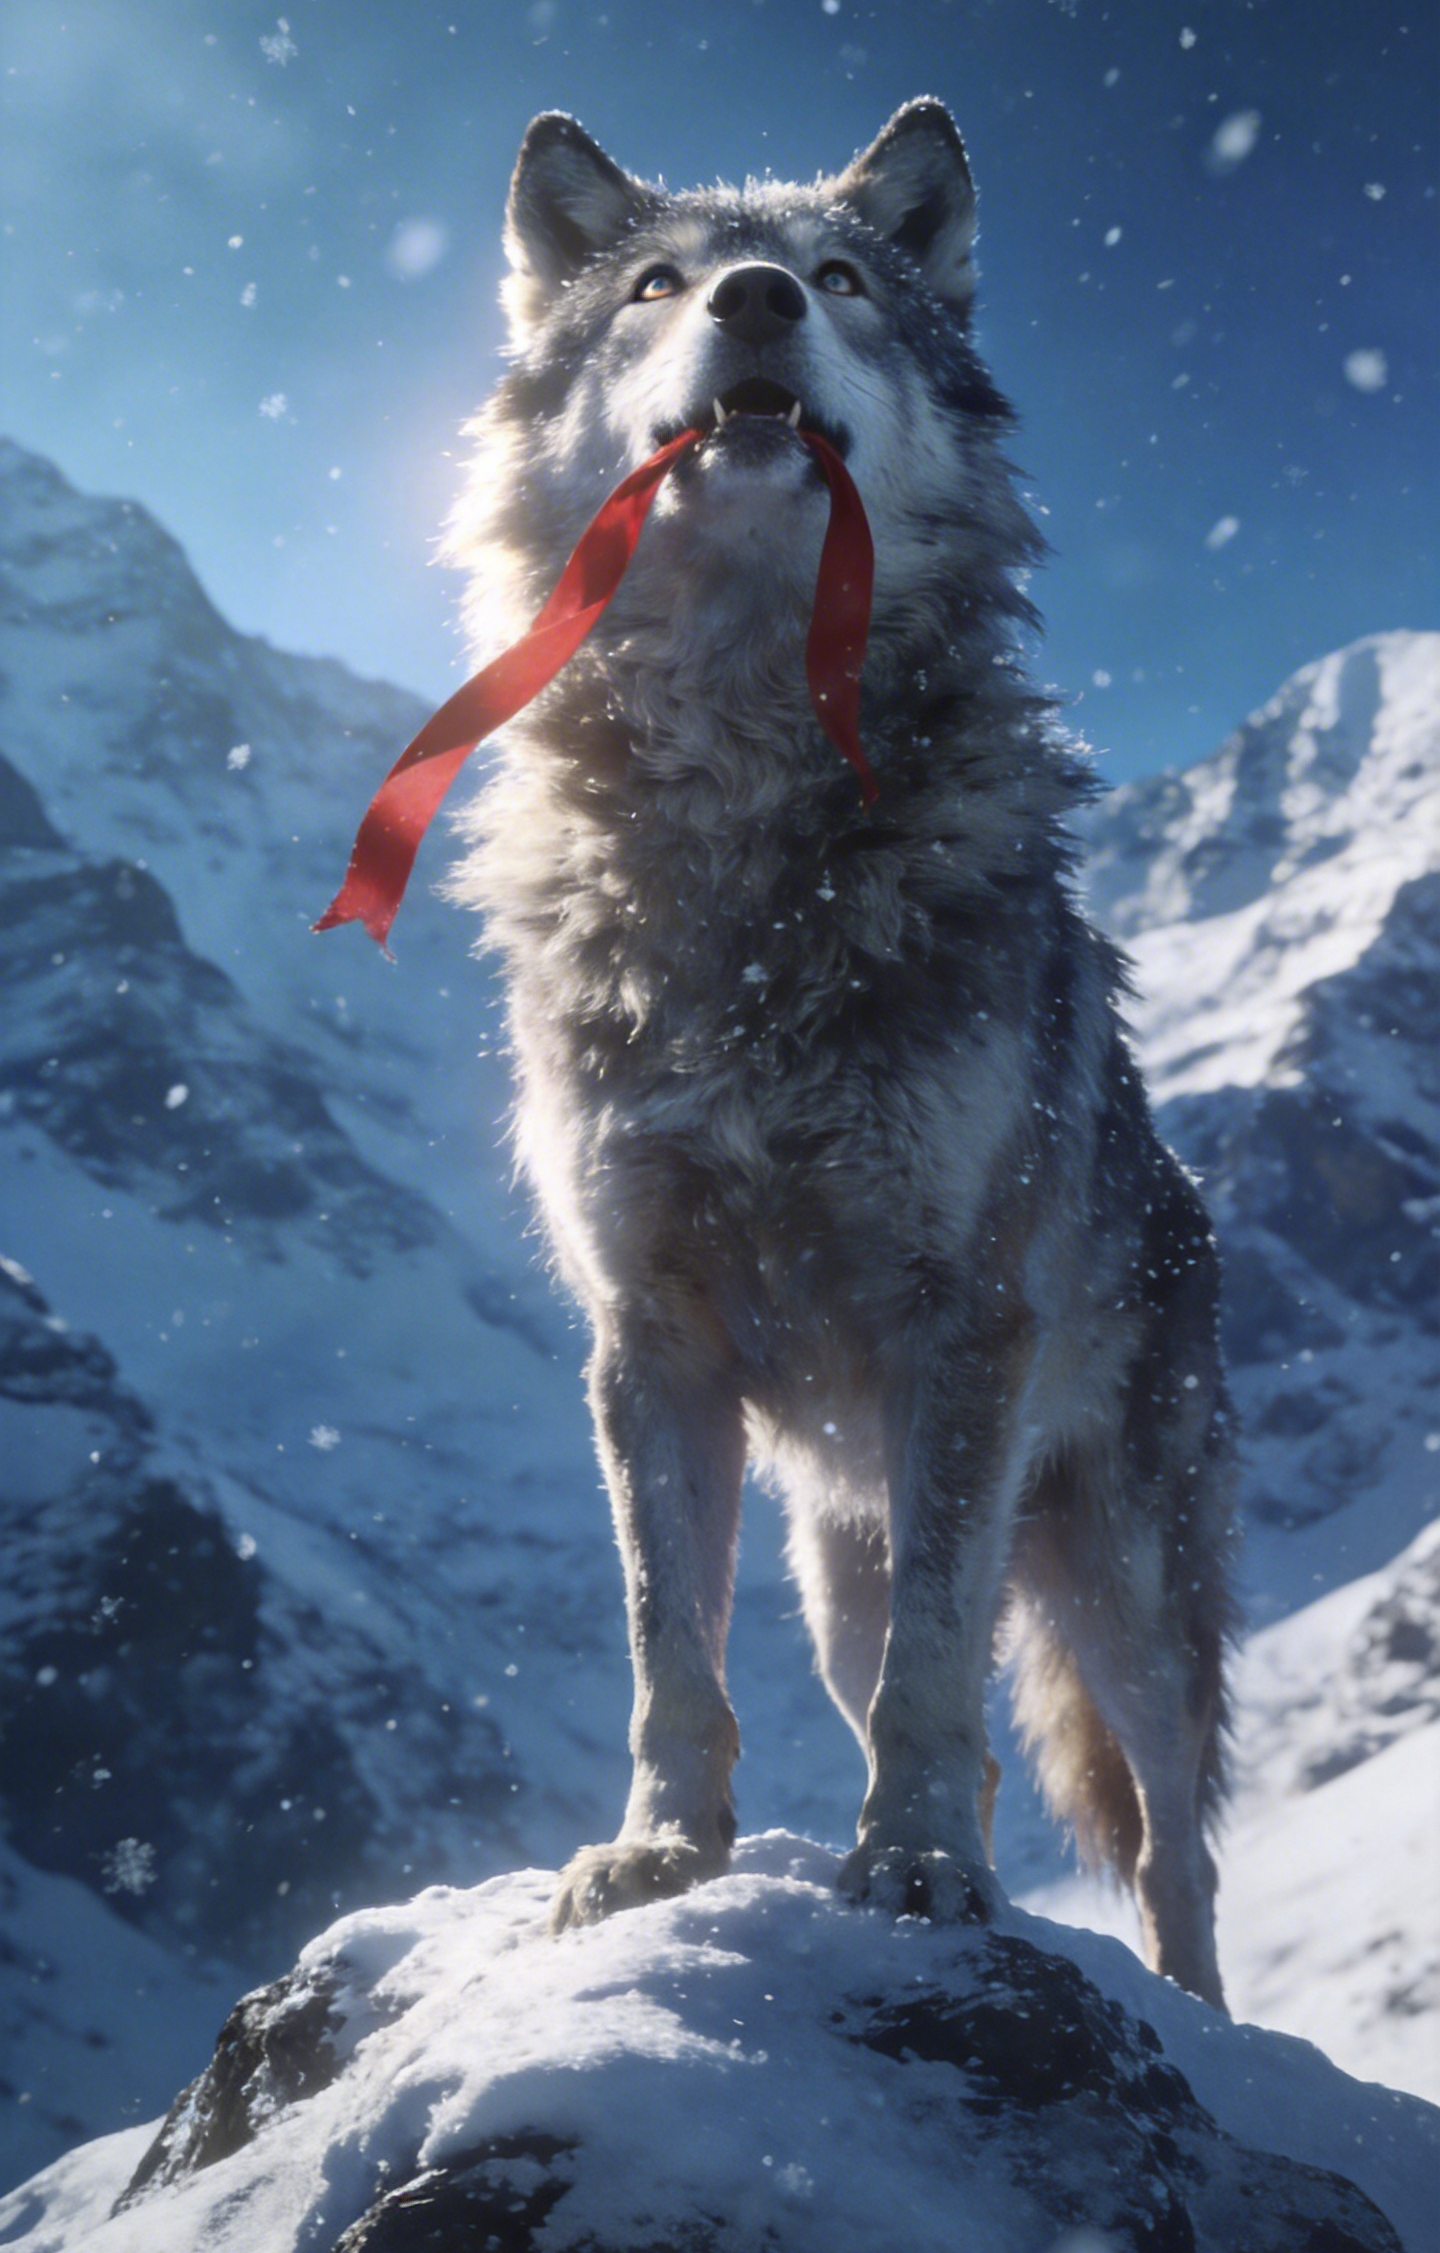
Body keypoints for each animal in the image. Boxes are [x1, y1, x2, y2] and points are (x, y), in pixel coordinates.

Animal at [444, 100, 1237, 2008]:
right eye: (654, 286)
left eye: (846, 282)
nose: (754, 299)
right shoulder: (646, 1338)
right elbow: (670, 1643)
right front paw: (659, 1856)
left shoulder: (965, 1324)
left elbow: (942, 1674)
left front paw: (922, 1876)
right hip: (842, 1562)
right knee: (923, 1704)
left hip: (1119, 1583)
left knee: (1170, 1839)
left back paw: (1201, 2012)